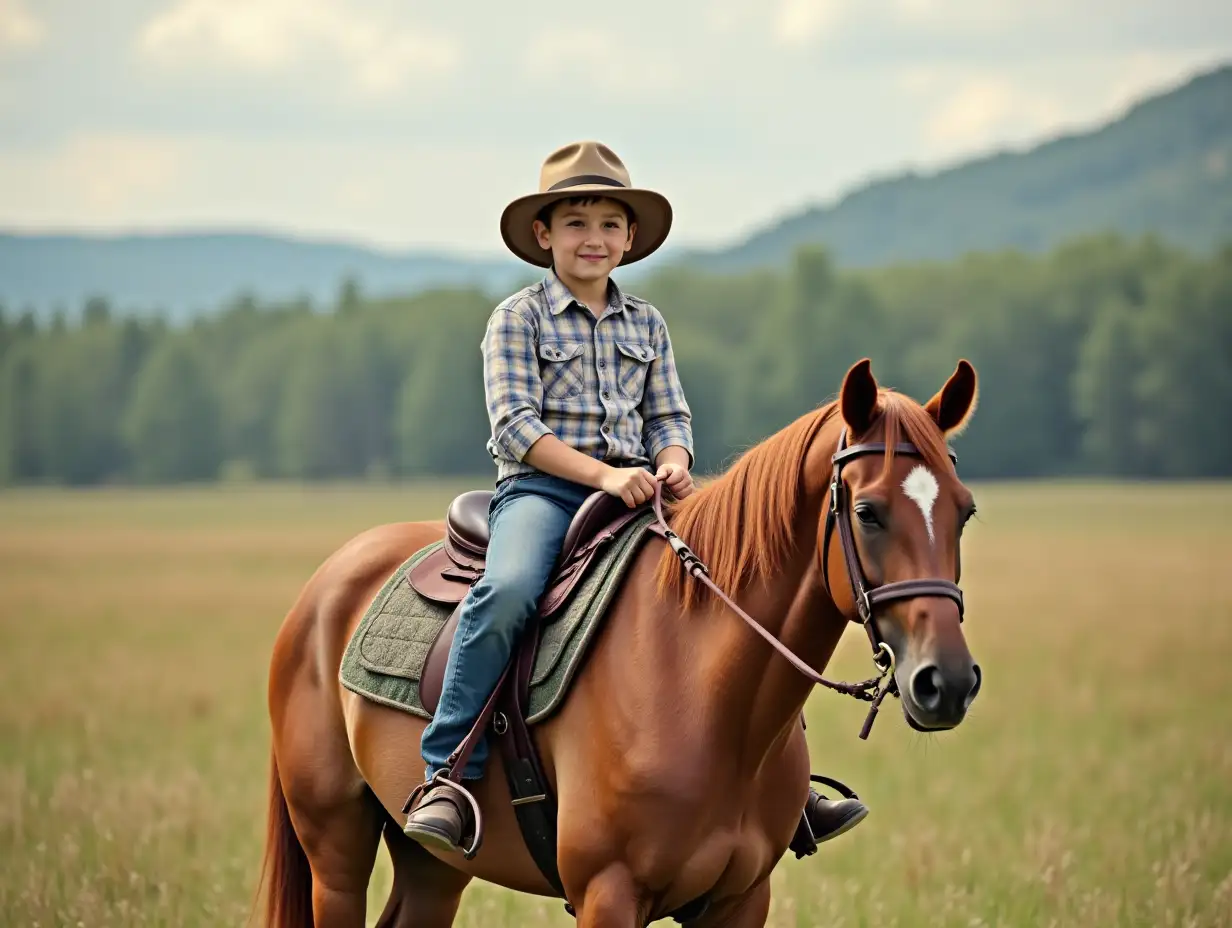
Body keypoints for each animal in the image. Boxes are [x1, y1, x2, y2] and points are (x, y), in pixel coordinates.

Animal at [257, 357, 980, 921]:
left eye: (965, 510)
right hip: (335, 849)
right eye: (867, 512)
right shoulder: (609, 893)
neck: (702, 686)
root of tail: (327, 583)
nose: (946, 682)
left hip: (433, 866)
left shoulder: (741, 899)